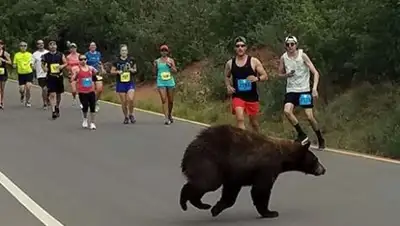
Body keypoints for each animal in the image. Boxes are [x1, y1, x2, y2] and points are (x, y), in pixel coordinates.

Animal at [180, 124, 326, 218]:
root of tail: (188, 152)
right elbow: (261, 190)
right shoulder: (267, 167)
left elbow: (231, 192)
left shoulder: (236, 173)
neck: (283, 156)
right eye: (316, 159)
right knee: (207, 182)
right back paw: (189, 203)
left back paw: (201, 204)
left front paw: (217, 208)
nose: (323, 169)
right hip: (209, 161)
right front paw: (270, 212)